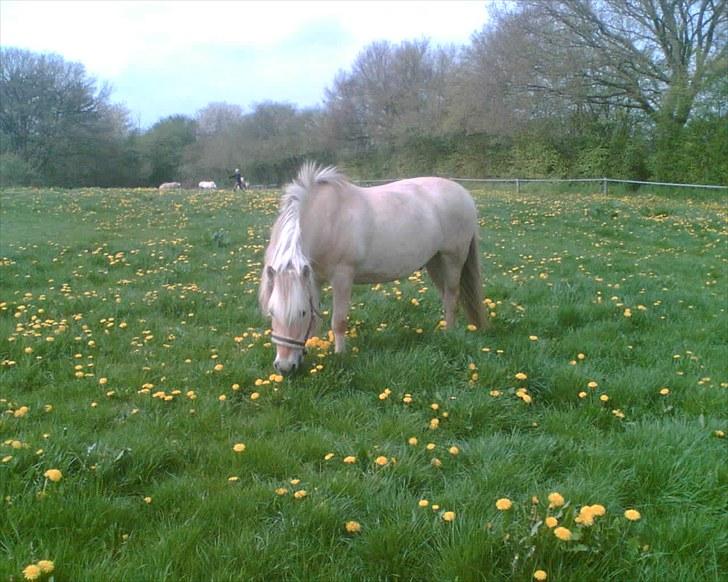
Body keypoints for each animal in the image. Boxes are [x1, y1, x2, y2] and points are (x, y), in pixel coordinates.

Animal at [258, 162, 486, 376]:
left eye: (301, 313)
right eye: (272, 312)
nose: (284, 367)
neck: (327, 220)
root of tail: (464, 193)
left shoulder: (342, 277)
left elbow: (338, 321)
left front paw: (340, 355)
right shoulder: (313, 278)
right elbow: (317, 319)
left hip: (452, 259)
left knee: (452, 297)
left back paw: (448, 334)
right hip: (435, 262)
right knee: (446, 296)